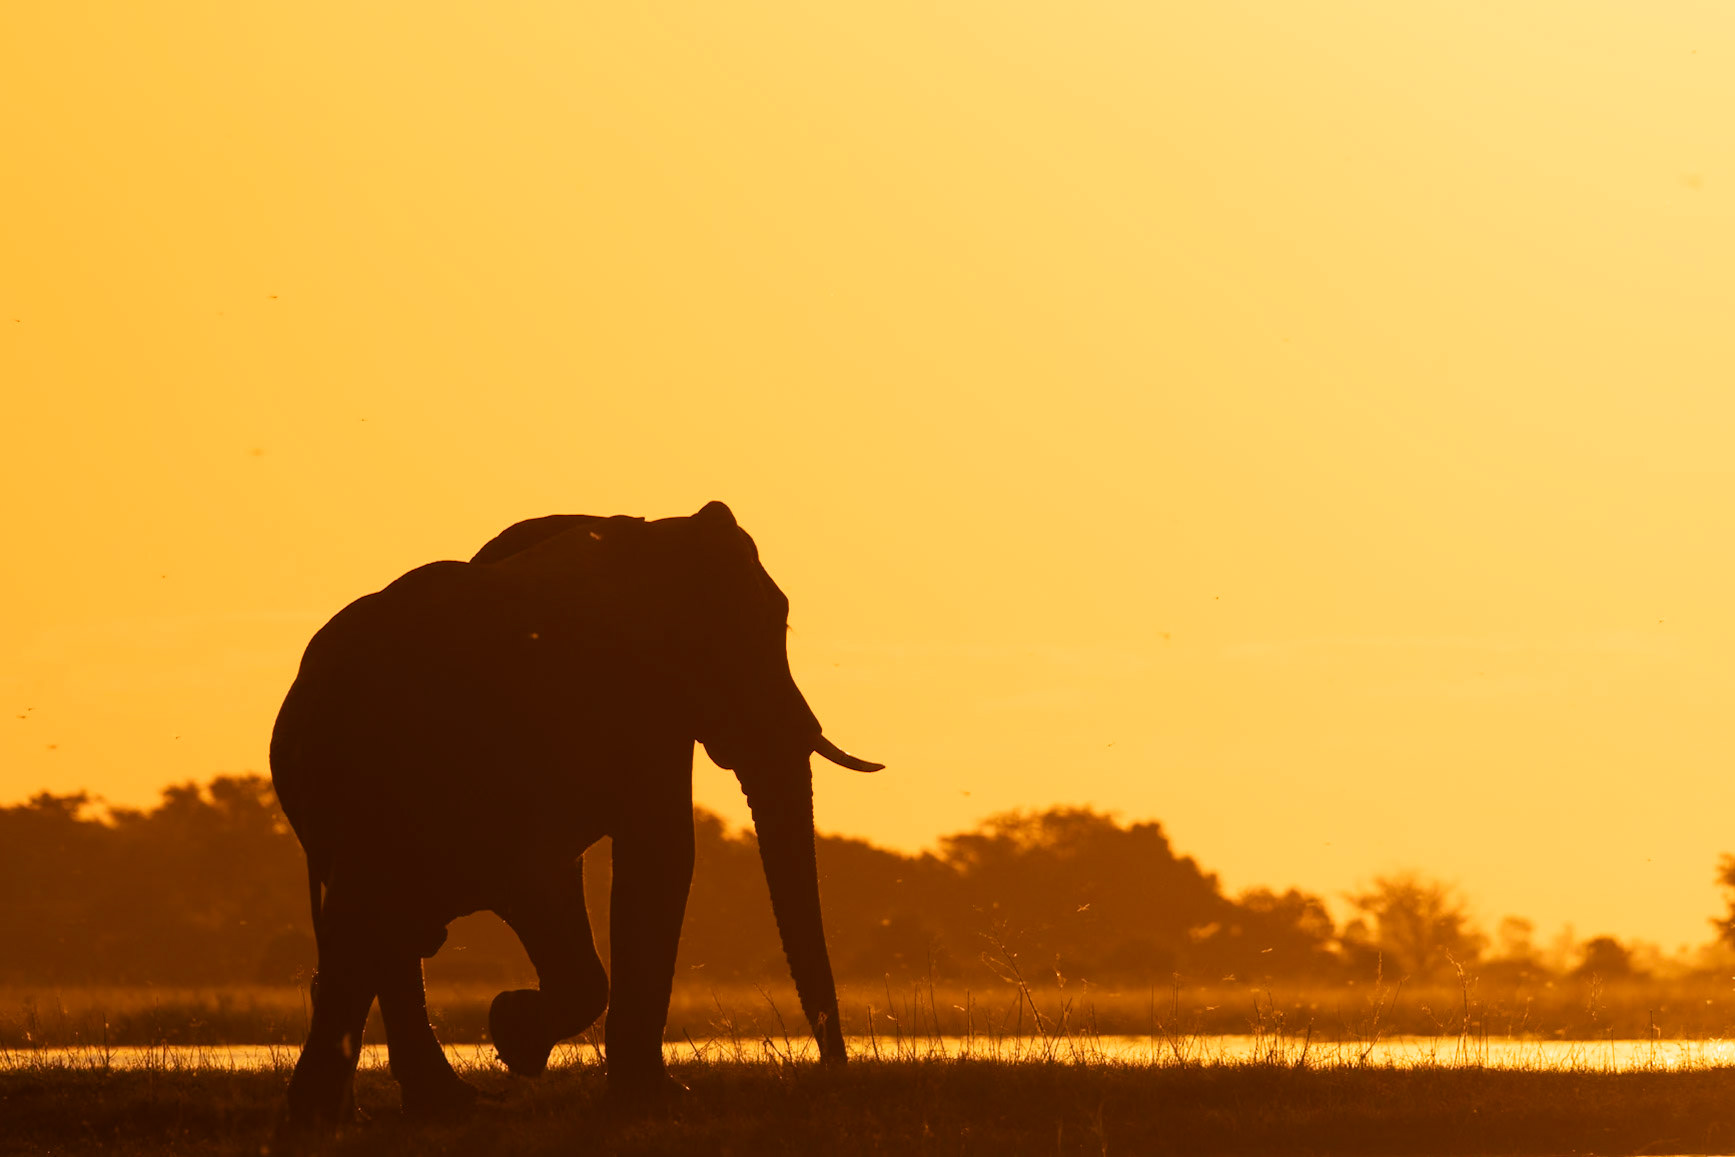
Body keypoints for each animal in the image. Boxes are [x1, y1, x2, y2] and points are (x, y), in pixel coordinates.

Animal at [269, 501, 881, 1130]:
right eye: (767, 629)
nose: (831, 1069)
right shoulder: (641, 702)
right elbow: (663, 851)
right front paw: (544, 1047)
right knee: (388, 922)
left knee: (383, 929)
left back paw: (417, 1106)